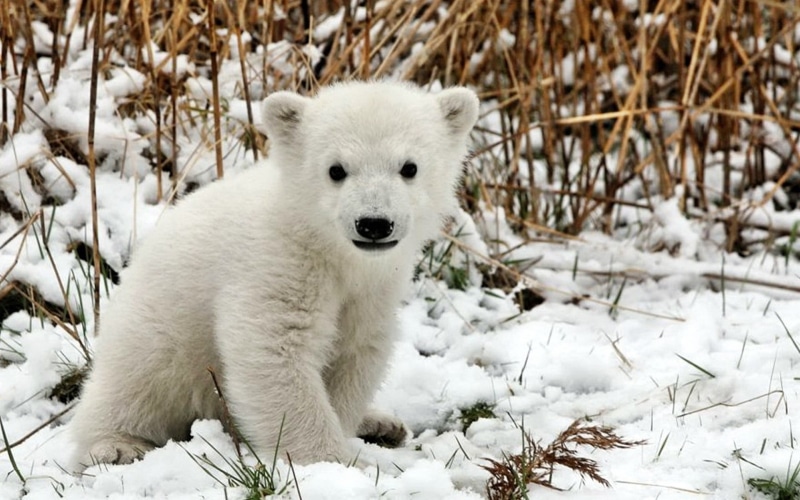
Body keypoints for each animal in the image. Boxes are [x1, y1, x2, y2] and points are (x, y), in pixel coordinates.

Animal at [69, 81, 479, 468]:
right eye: (336, 169)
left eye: (409, 167)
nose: (374, 223)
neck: (325, 245)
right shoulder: (276, 264)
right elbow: (273, 350)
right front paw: (332, 462)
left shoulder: (373, 288)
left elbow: (355, 350)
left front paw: (349, 432)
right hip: (157, 335)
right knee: (134, 385)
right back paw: (116, 445)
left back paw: (382, 423)